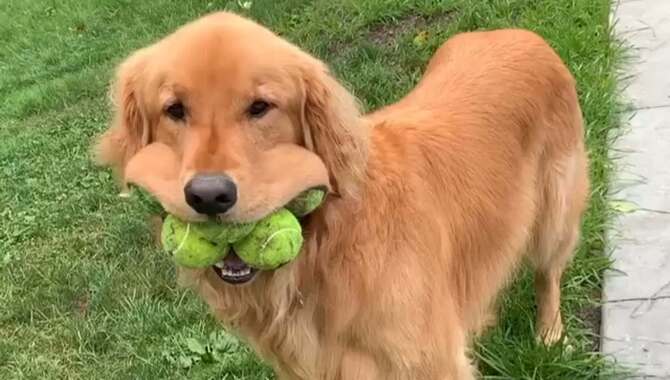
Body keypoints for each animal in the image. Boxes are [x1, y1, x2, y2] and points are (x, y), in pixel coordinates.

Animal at [93, 11, 588, 380]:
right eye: (174, 110)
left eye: (260, 107)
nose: (209, 196)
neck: (322, 254)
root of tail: (520, 33)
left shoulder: (431, 361)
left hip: (555, 209)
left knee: (548, 273)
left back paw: (550, 336)